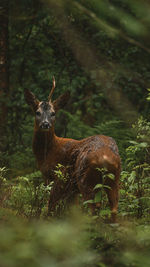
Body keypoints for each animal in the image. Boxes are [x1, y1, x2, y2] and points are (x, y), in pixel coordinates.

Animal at [24, 77, 120, 220]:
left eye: (53, 113)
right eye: (37, 112)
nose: (45, 124)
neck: (47, 153)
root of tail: (105, 159)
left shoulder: (57, 176)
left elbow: (51, 206)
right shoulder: (71, 189)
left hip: (85, 179)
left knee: (94, 207)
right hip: (114, 178)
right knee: (114, 208)